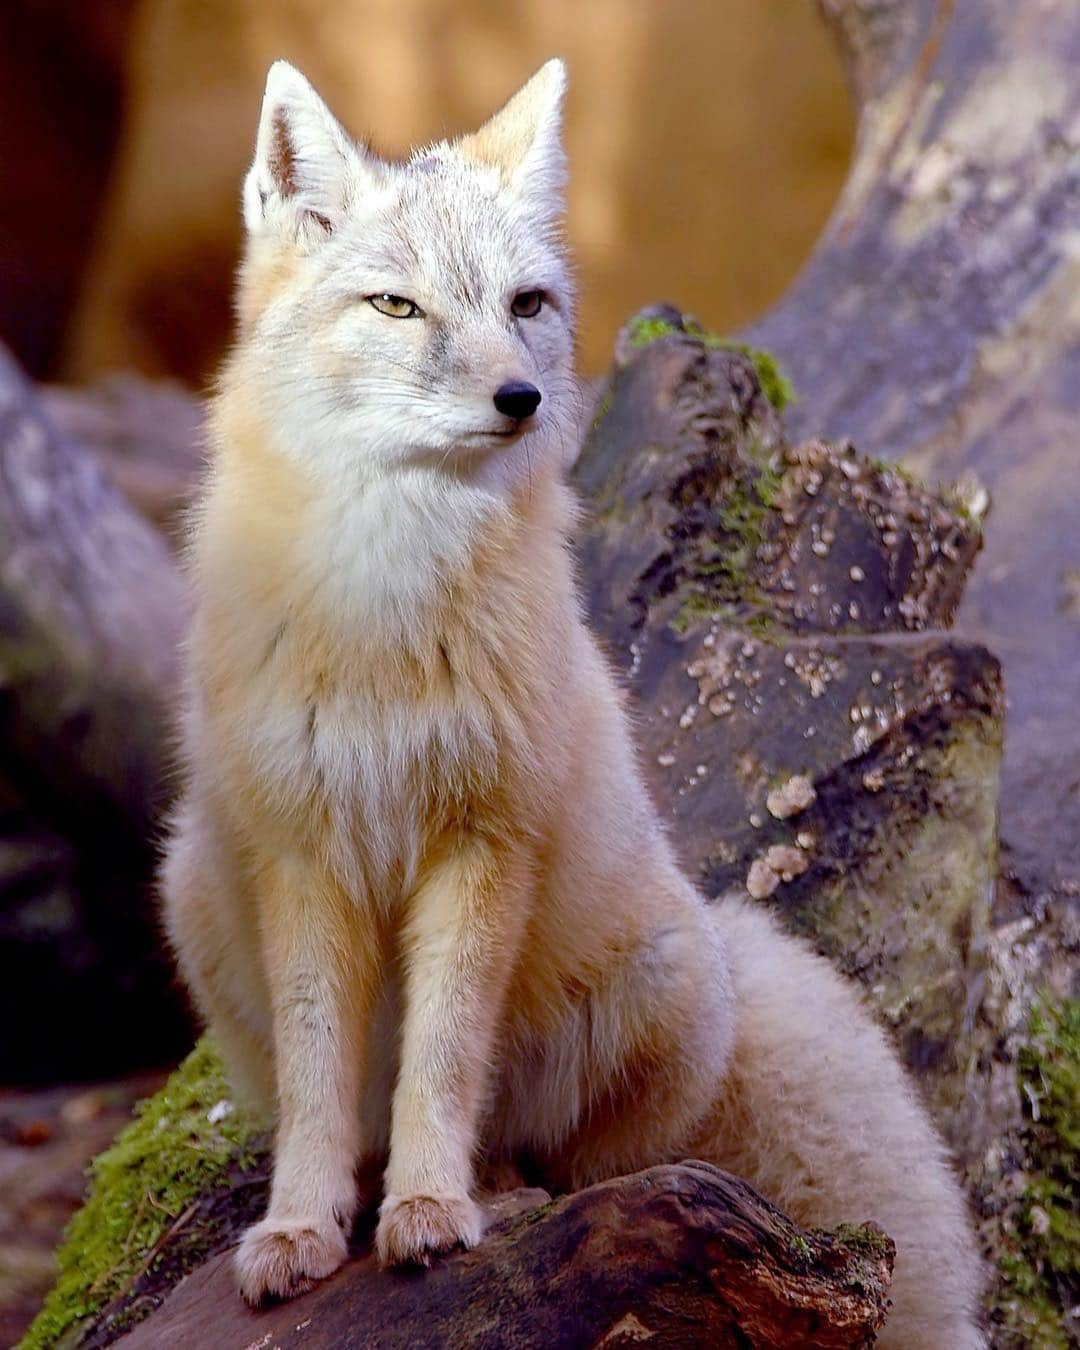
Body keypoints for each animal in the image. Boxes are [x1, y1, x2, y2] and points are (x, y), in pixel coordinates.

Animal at [162, 60, 988, 1350]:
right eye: (397, 308)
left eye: (528, 304)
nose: (521, 396)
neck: (381, 604)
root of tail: (724, 938)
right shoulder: (302, 850)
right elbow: (314, 1081)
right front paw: (299, 1227)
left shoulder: (482, 840)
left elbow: (445, 1057)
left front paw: (432, 1210)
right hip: (194, 885)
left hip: (654, 984)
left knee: (573, 1163)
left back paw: (494, 1189)